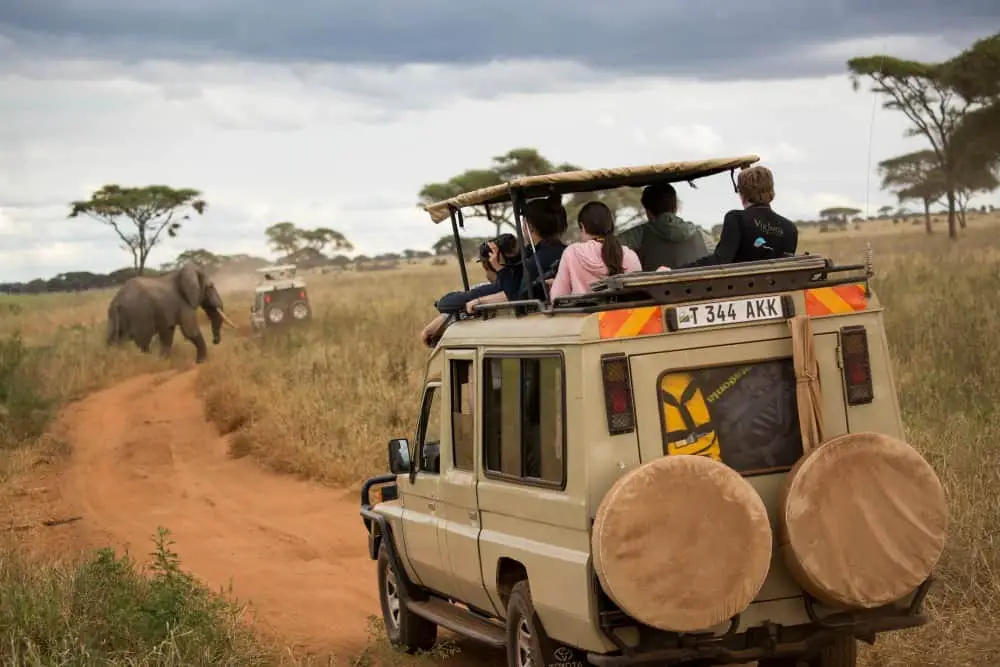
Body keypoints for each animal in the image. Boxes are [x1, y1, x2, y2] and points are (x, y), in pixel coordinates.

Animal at [106, 262, 237, 366]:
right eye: (211, 287)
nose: (214, 341)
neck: (181, 273)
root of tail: (116, 302)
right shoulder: (184, 303)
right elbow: (190, 331)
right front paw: (201, 362)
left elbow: (167, 335)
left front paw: (163, 361)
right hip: (139, 315)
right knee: (141, 341)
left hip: (115, 319)